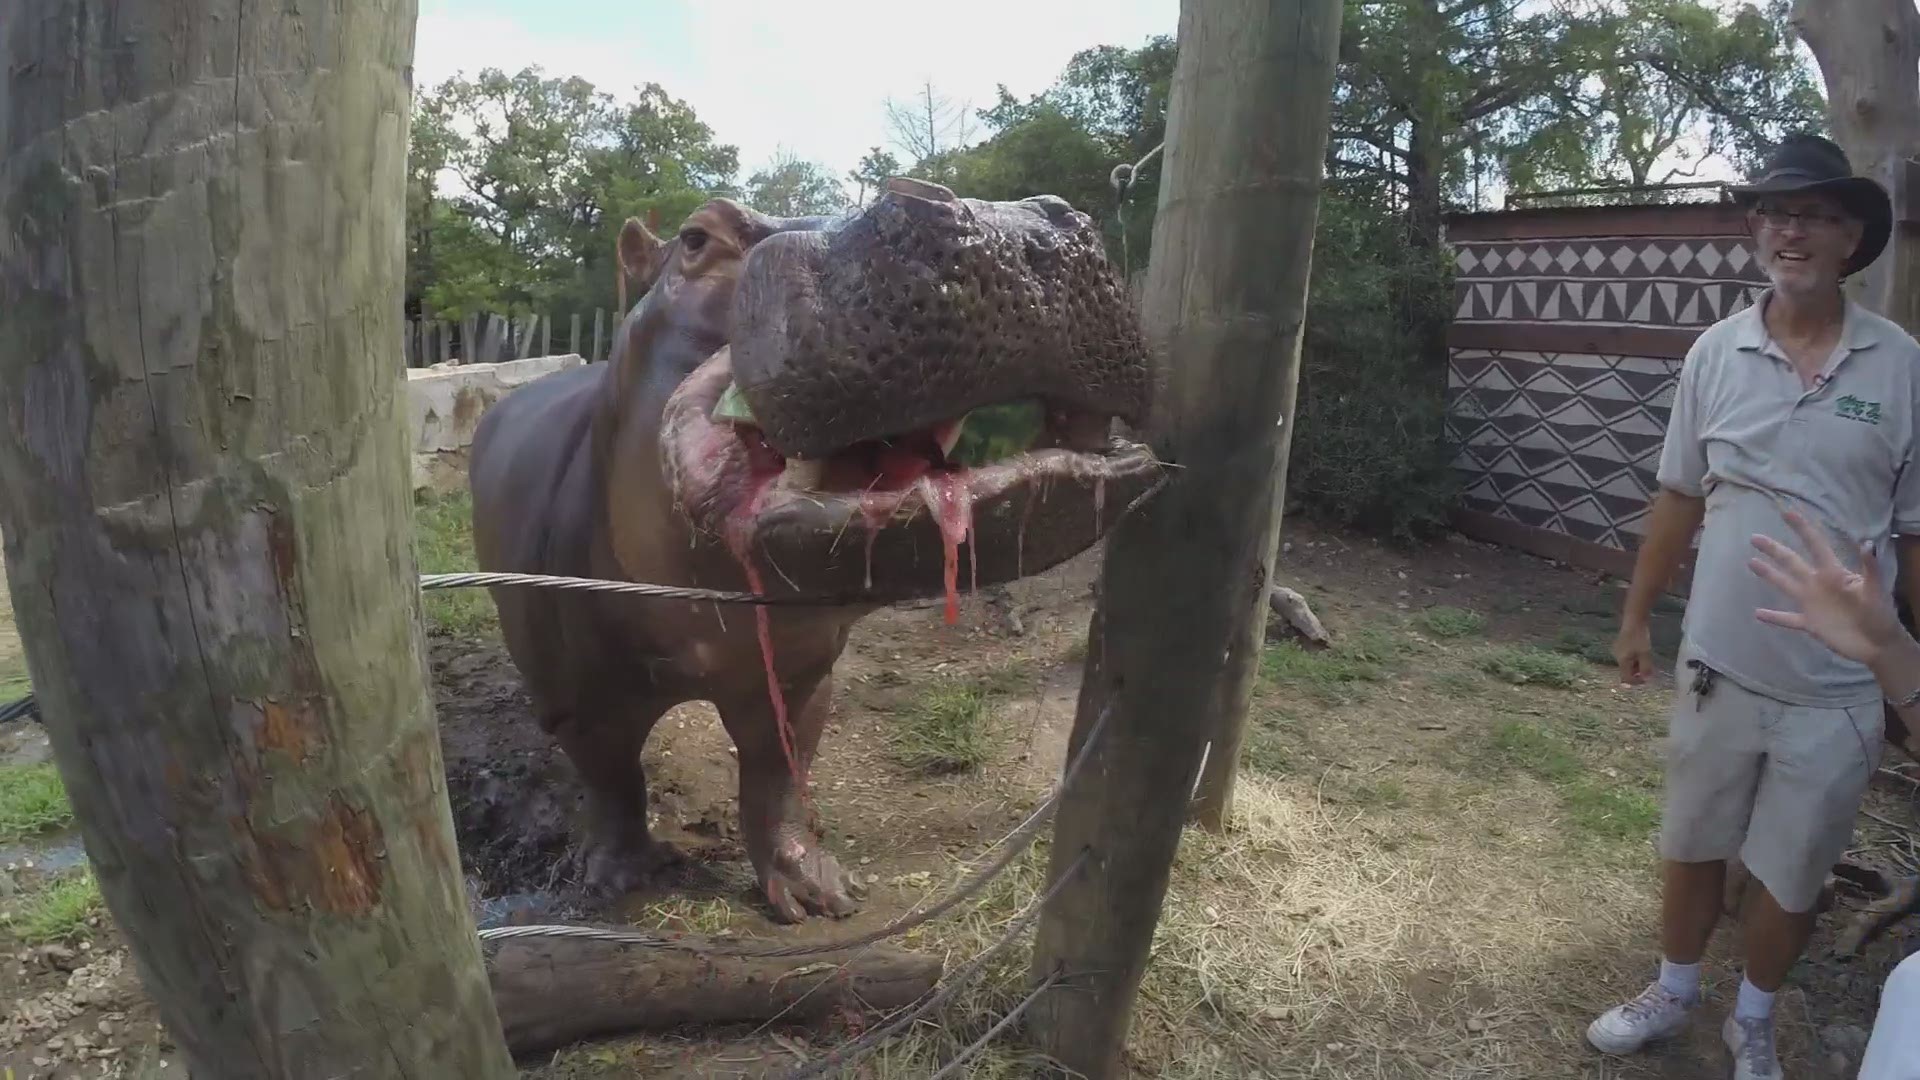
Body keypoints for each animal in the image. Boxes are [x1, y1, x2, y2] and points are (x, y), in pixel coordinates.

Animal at [468, 176, 1152, 914]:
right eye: (695, 238)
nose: (1014, 226)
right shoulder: (582, 701)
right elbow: (614, 781)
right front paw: (619, 881)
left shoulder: (803, 676)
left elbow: (777, 777)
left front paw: (819, 893)